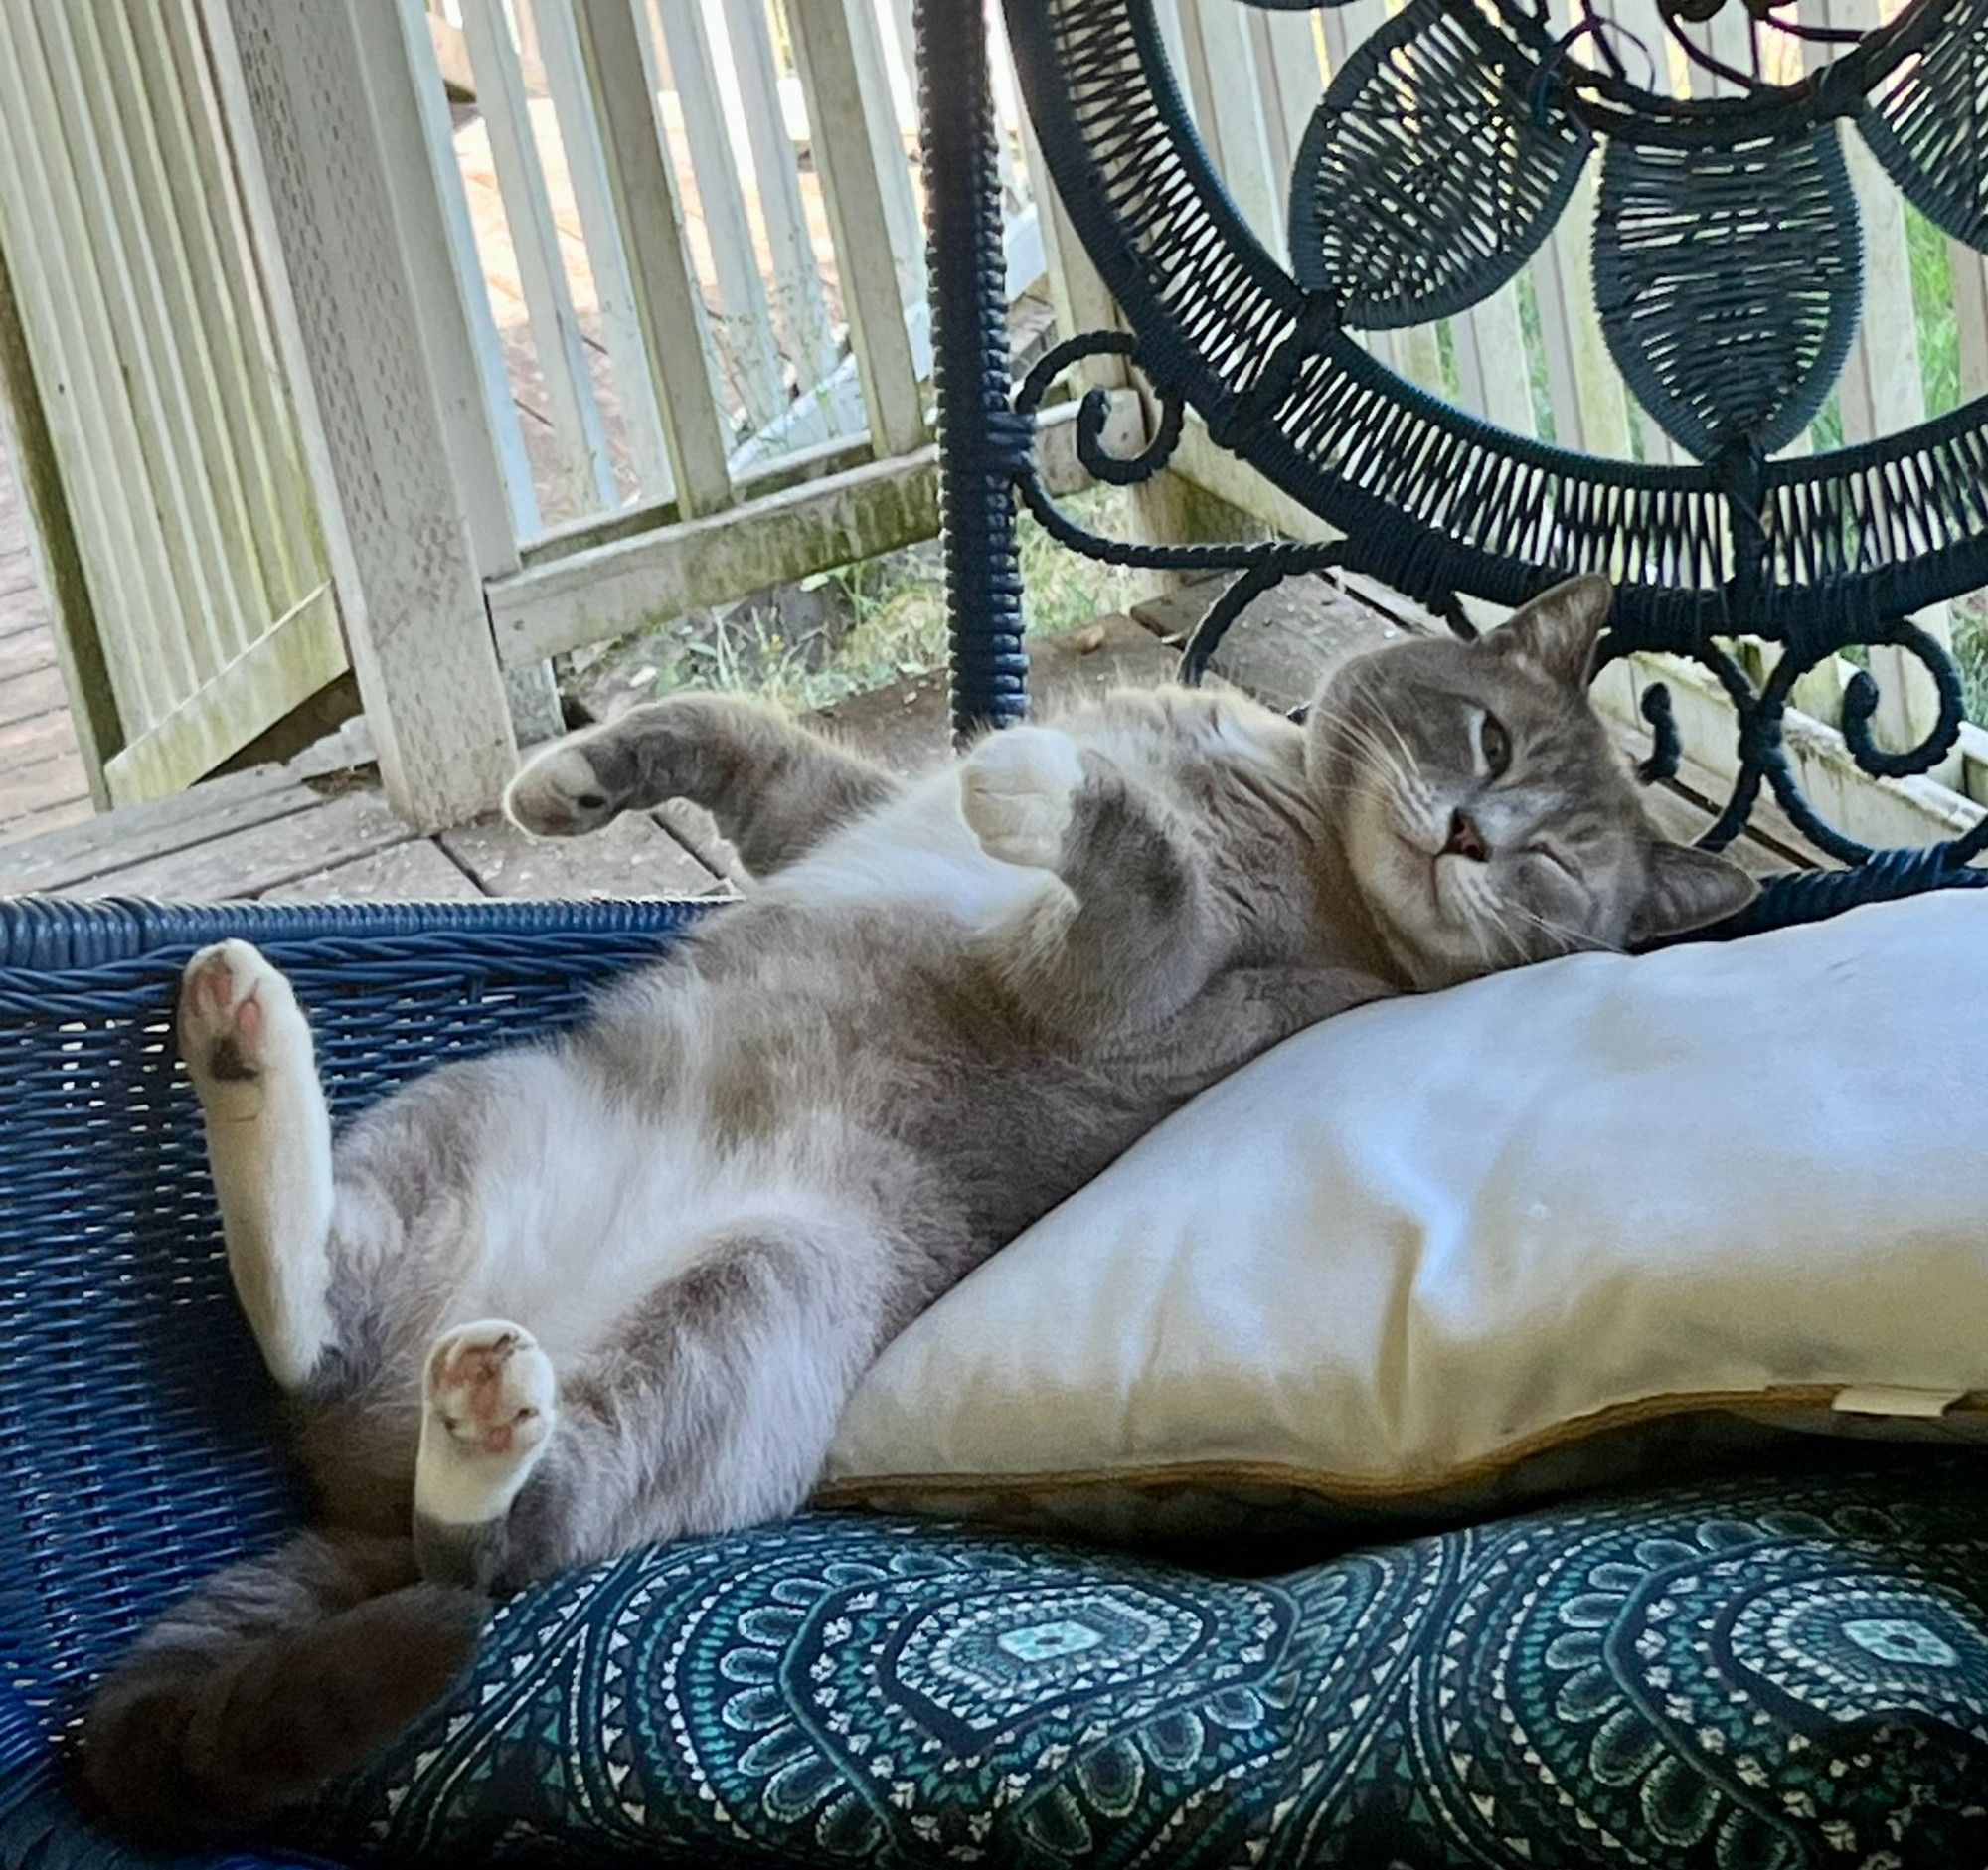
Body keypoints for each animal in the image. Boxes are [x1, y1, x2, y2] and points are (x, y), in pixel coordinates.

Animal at [82, 569, 1757, 1837]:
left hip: (765, 1289)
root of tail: (352, 1495)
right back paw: (250, 1061)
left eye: (1560, 868)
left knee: (497, 1545)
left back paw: (487, 1412)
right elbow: (743, 736)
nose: (1477, 835)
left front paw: (1046, 781)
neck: (1283, 796)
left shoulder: (1142, 1001)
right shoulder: (842, 808)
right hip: (483, 1111)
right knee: (309, 1321)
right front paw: (571, 772)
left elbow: (1140, 877)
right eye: (1489, 731)